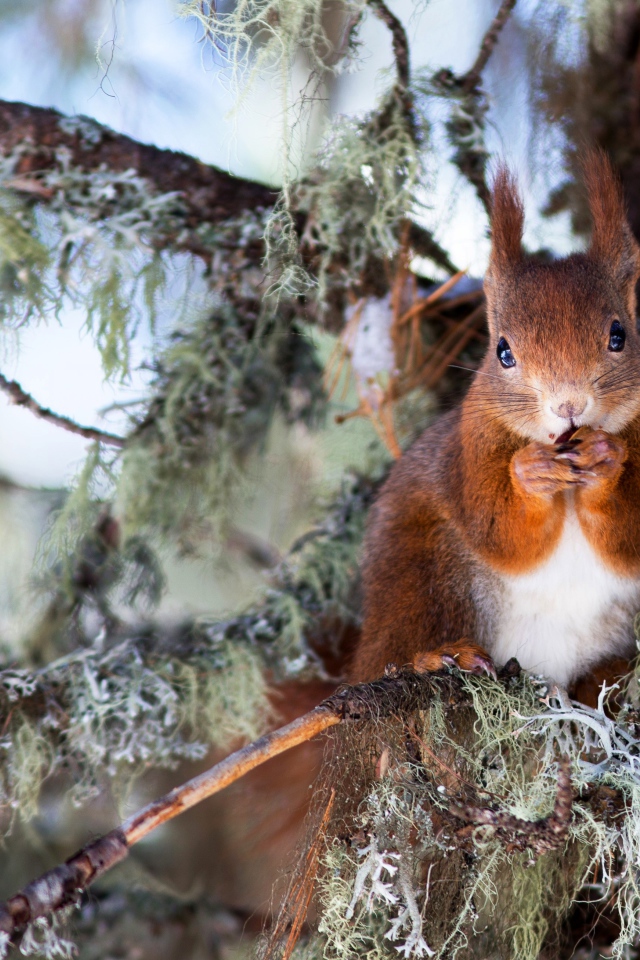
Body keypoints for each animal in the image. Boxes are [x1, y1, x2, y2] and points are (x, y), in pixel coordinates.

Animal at [352, 150, 640, 688]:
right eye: (503, 351)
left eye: (619, 335)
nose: (568, 405)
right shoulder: (472, 447)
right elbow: (499, 531)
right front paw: (530, 473)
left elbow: (627, 539)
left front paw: (606, 458)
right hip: (419, 572)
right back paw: (439, 655)